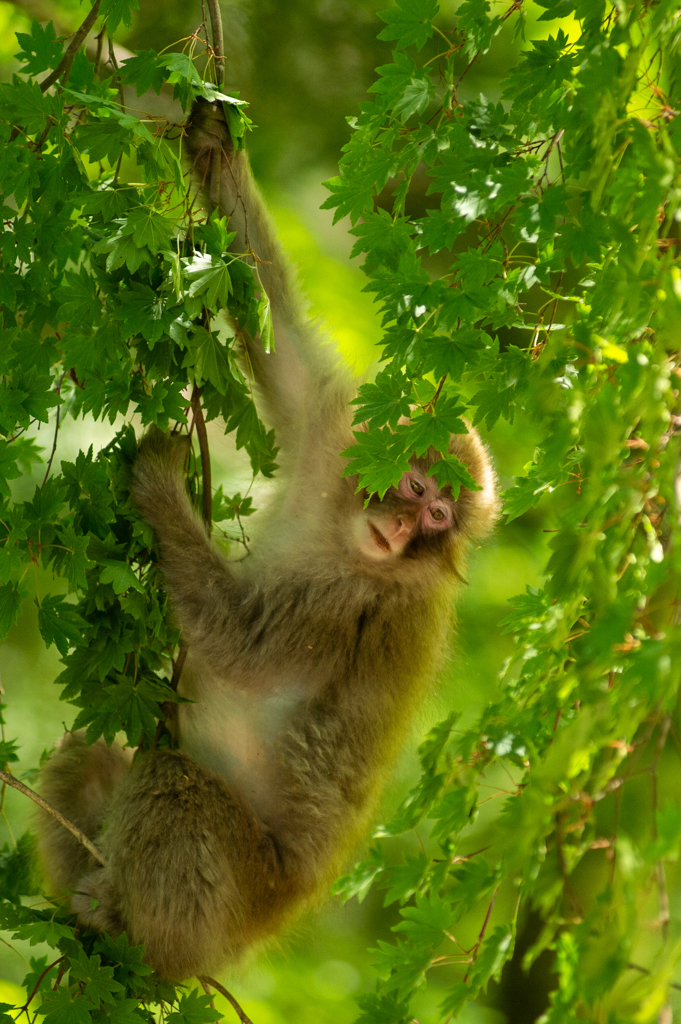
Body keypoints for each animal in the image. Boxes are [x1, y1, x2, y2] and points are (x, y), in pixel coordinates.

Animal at [34, 97, 497, 983]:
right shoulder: (329, 435)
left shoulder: (357, 608)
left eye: (437, 524)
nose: (400, 530)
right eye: (417, 489)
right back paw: (89, 911)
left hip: (239, 881)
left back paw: (142, 943)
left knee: (174, 784)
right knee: (95, 749)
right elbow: (275, 330)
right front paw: (211, 145)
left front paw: (159, 484)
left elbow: (243, 644)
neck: (341, 541)